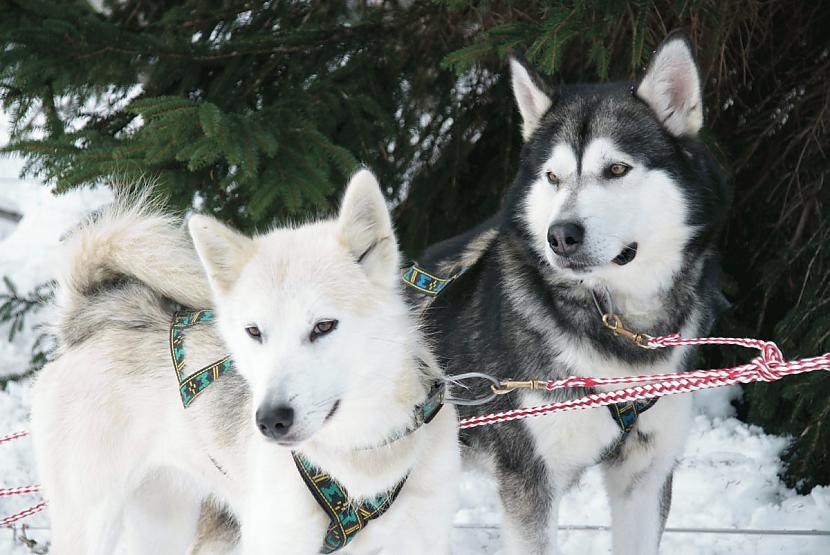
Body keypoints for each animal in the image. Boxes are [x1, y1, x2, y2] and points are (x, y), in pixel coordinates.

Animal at [30, 172, 462, 552]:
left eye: (323, 326)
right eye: (254, 331)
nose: (271, 420)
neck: (361, 460)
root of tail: (92, 322)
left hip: (164, 523)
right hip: (91, 521)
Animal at [412, 32, 732, 552]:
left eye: (617, 169)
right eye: (553, 177)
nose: (560, 236)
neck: (619, 330)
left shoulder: (645, 476)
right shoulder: (530, 481)